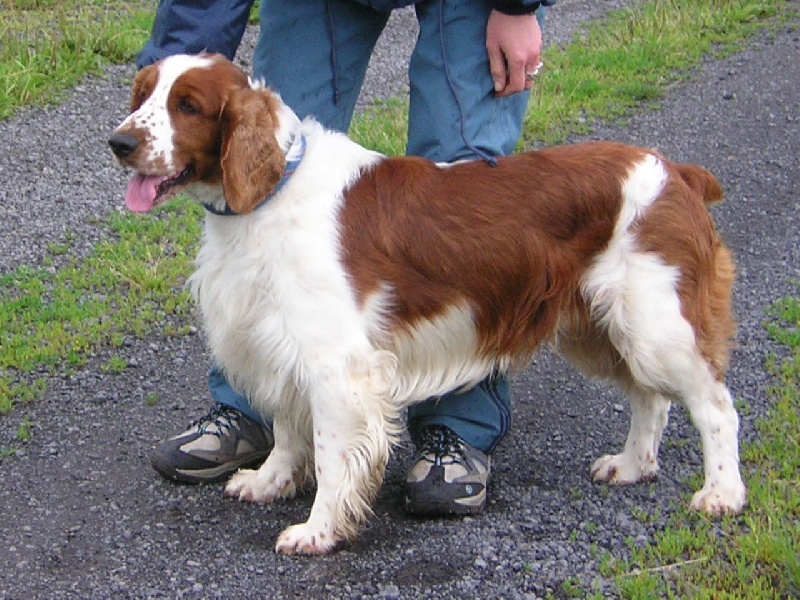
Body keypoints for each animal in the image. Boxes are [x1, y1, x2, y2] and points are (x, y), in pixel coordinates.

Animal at [109, 54, 748, 556]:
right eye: (143, 95)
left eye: (188, 106)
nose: (119, 142)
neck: (271, 195)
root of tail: (676, 173)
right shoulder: (281, 342)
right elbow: (289, 430)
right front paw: (268, 482)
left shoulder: (338, 366)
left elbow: (332, 455)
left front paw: (317, 531)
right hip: (600, 326)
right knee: (651, 398)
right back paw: (632, 465)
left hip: (656, 323)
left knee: (714, 406)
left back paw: (721, 493)